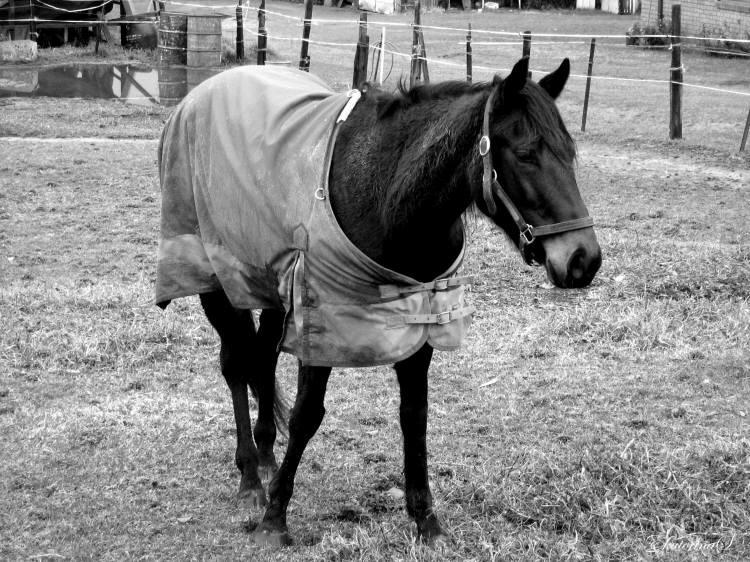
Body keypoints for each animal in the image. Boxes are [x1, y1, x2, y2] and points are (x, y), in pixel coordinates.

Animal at [155, 56, 601, 547]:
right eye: (525, 154)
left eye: (569, 153)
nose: (584, 259)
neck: (387, 196)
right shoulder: (322, 320)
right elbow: (308, 414)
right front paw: (275, 517)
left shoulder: (420, 320)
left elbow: (414, 415)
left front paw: (426, 520)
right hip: (214, 279)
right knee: (236, 364)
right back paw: (252, 476)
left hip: (269, 286)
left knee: (262, 361)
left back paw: (267, 456)